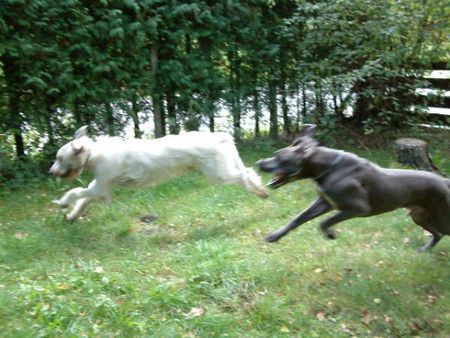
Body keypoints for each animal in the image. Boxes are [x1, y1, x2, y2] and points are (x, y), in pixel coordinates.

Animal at [49, 125, 268, 220]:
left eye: (60, 158)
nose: (50, 172)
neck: (95, 154)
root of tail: (220, 137)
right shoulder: (98, 187)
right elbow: (83, 199)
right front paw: (73, 215)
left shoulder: (101, 187)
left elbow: (76, 192)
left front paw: (63, 202)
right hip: (223, 168)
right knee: (247, 171)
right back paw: (260, 189)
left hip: (218, 174)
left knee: (243, 175)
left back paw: (260, 192)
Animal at [258, 126, 448, 251]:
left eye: (278, 157)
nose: (259, 162)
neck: (329, 168)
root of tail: (446, 182)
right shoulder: (325, 202)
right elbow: (298, 218)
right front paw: (275, 235)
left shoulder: (358, 208)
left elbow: (323, 222)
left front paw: (330, 234)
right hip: (419, 216)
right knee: (438, 234)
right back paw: (424, 250)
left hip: (440, 217)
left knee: (442, 232)